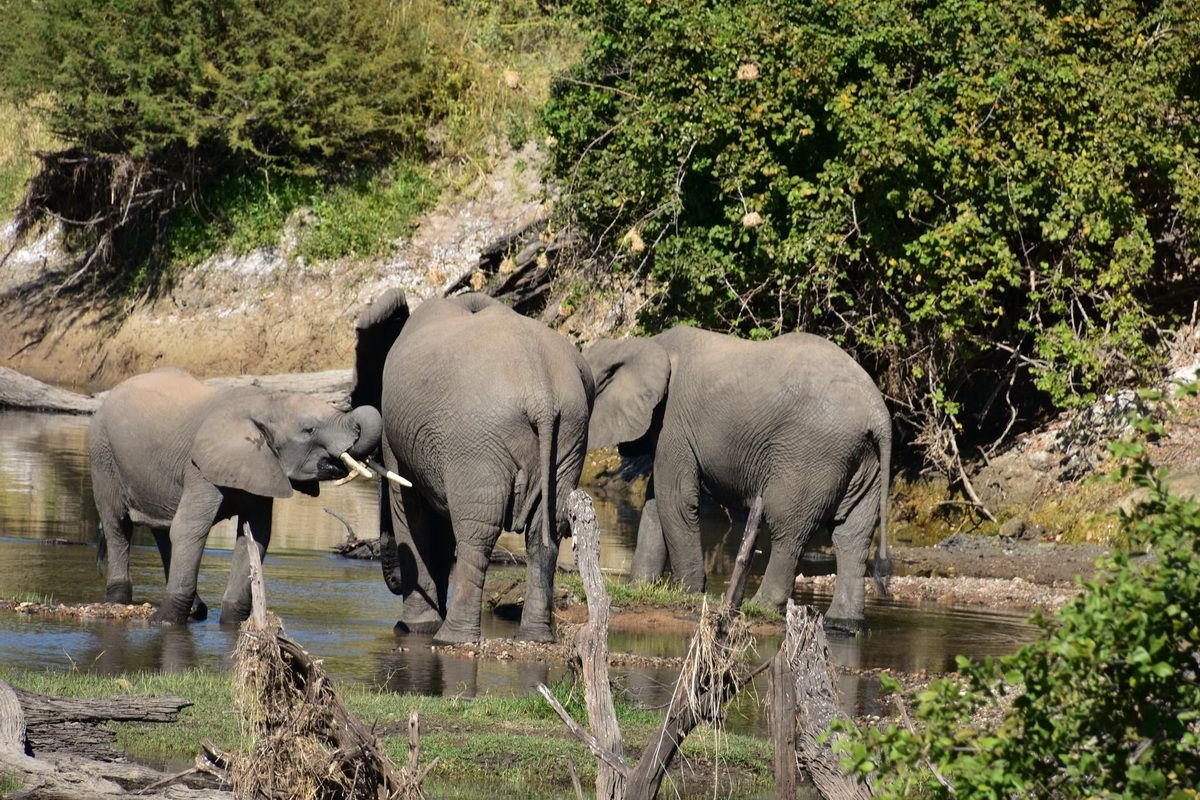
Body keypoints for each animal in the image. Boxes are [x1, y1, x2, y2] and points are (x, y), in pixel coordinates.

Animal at [88, 367, 379, 623]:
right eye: (309, 430)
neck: (264, 403)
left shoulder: (262, 466)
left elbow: (255, 537)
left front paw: (234, 622)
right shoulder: (200, 467)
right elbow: (190, 528)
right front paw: (163, 622)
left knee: (162, 529)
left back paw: (197, 611)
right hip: (102, 455)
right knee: (118, 526)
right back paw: (118, 601)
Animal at [350, 291, 595, 647]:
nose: (392, 582)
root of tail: (541, 393)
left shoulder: (404, 444)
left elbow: (411, 513)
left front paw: (413, 628)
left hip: (477, 441)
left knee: (477, 534)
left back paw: (450, 639)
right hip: (570, 435)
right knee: (544, 532)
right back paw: (536, 638)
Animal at [580, 326, 892, 633]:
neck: (639, 345)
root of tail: (879, 414)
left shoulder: (674, 423)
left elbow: (676, 500)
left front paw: (689, 593)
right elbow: (656, 502)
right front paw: (640, 587)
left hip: (813, 457)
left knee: (788, 528)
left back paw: (762, 606)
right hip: (863, 460)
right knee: (851, 536)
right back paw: (842, 623)